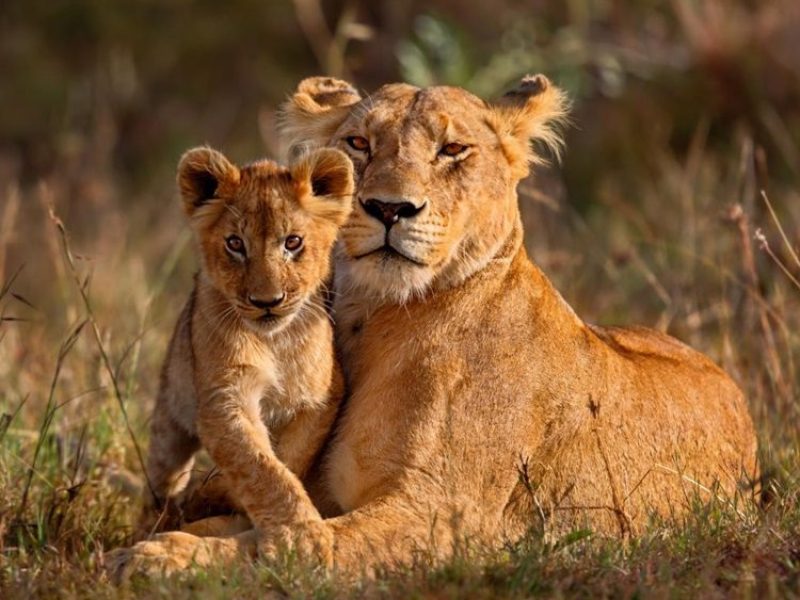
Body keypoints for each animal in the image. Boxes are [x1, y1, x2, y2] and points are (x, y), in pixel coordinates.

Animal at [130, 145, 354, 542]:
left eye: (292, 242)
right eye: (235, 244)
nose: (267, 301)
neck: (274, 340)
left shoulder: (321, 398)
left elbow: (287, 459)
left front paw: (215, 495)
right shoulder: (224, 399)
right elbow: (260, 467)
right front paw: (301, 535)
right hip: (169, 419)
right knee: (162, 477)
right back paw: (157, 519)